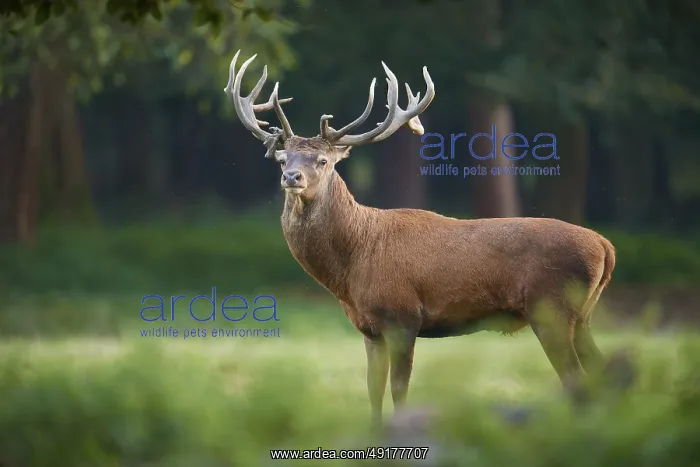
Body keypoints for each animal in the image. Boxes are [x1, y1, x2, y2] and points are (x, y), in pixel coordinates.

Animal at [224, 50, 617, 427]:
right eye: (282, 159)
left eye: (322, 161)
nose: (292, 177)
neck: (351, 268)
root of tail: (606, 247)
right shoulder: (369, 329)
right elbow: (373, 391)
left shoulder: (402, 316)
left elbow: (399, 392)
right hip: (582, 315)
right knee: (601, 371)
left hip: (551, 307)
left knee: (578, 380)